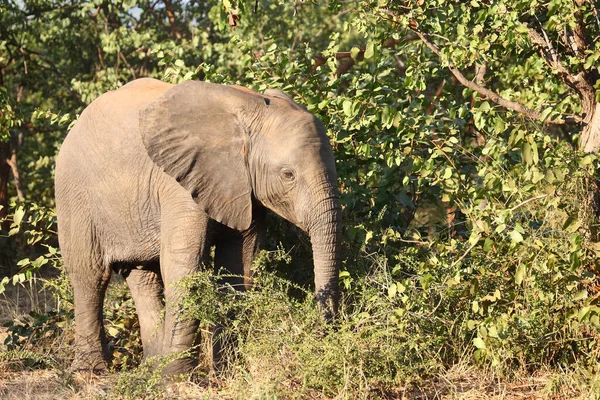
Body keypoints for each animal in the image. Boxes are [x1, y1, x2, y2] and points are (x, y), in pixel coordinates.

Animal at [55, 79, 342, 376]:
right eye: (288, 175)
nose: (325, 333)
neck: (248, 110)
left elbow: (239, 267)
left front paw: (225, 372)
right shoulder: (179, 182)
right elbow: (185, 265)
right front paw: (177, 378)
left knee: (143, 278)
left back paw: (151, 369)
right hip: (74, 195)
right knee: (90, 275)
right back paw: (89, 372)